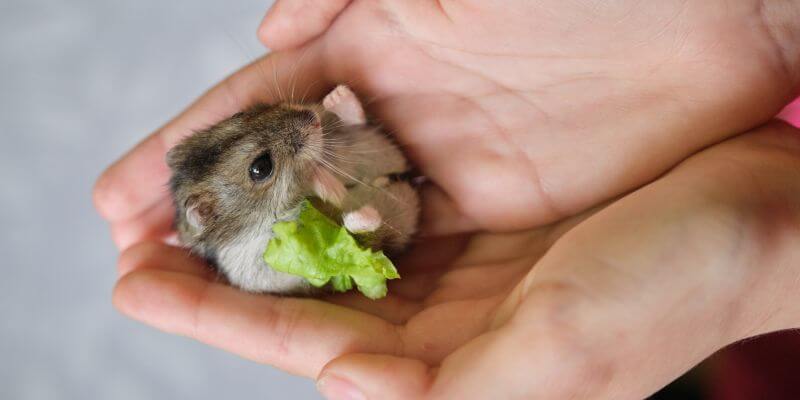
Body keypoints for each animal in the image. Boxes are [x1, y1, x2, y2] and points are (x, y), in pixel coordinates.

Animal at [166, 85, 422, 296]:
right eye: (261, 168)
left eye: (238, 115)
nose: (312, 117)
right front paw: (318, 178)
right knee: (361, 229)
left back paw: (338, 97)